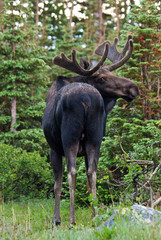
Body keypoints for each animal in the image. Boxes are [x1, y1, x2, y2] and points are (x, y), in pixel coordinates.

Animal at [42, 35, 140, 225]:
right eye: (102, 78)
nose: (134, 87)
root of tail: (86, 99)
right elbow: (87, 179)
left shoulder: (54, 148)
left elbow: (57, 184)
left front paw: (55, 220)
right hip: (95, 139)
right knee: (92, 173)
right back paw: (95, 217)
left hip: (70, 138)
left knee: (72, 173)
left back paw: (72, 220)